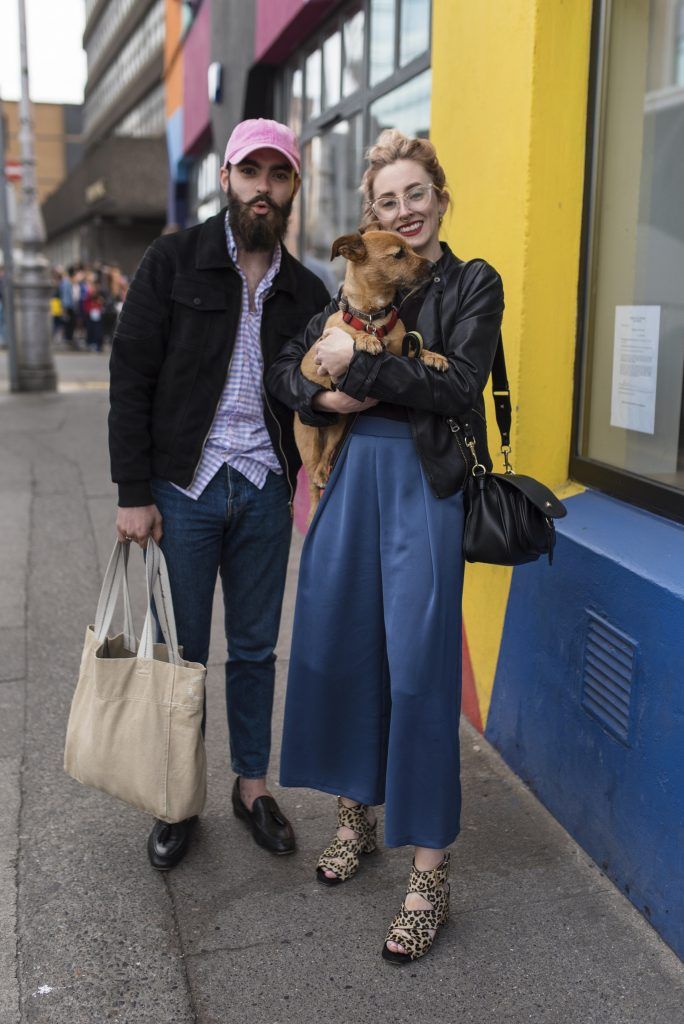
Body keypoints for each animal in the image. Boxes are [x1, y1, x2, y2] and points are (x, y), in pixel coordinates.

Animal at [294, 232, 448, 520]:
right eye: (399, 254)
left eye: (412, 249)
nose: (434, 267)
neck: (373, 316)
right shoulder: (335, 335)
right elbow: (353, 334)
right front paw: (366, 340)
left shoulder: (403, 350)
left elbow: (417, 351)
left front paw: (434, 356)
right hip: (307, 438)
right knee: (311, 482)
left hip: (339, 426)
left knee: (326, 456)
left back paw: (323, 472)